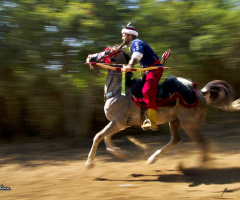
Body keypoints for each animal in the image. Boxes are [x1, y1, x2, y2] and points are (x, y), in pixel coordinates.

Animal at [85, 44, 240, 168]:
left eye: (107, 51)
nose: (89, 57)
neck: (119, 91)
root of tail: (200, 93)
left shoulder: (118, 122)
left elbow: (98, 136)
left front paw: (90, 162)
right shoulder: (120, 124)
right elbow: (105, 137)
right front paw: (121, 154)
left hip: (190, 124)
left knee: (203, 143)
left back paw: (199, 168)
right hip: (175, 121)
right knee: (176, 140)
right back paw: (152, 159)